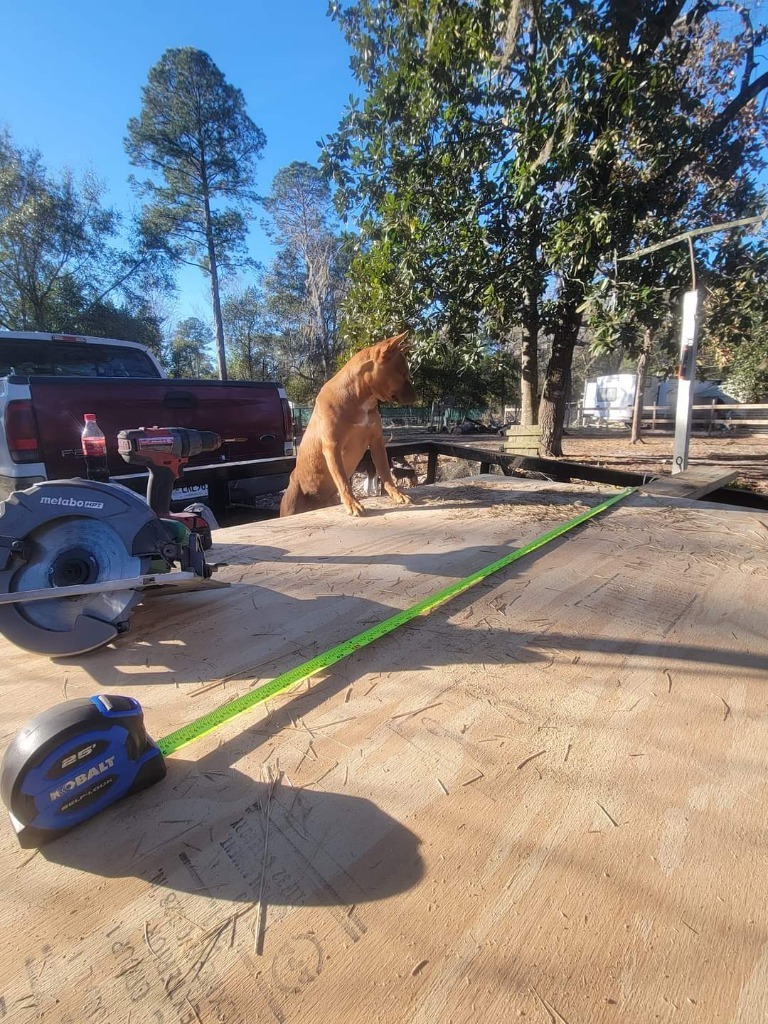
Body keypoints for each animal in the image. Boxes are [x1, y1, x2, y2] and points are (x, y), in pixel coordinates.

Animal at [280, 331, 417, 516]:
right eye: (403, 373)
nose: (417, 396)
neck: (360, 397)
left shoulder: (376, 442)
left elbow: (385, 473)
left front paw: (396, 493)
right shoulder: (332, 447)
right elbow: (343, 480)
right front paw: (352, 503)